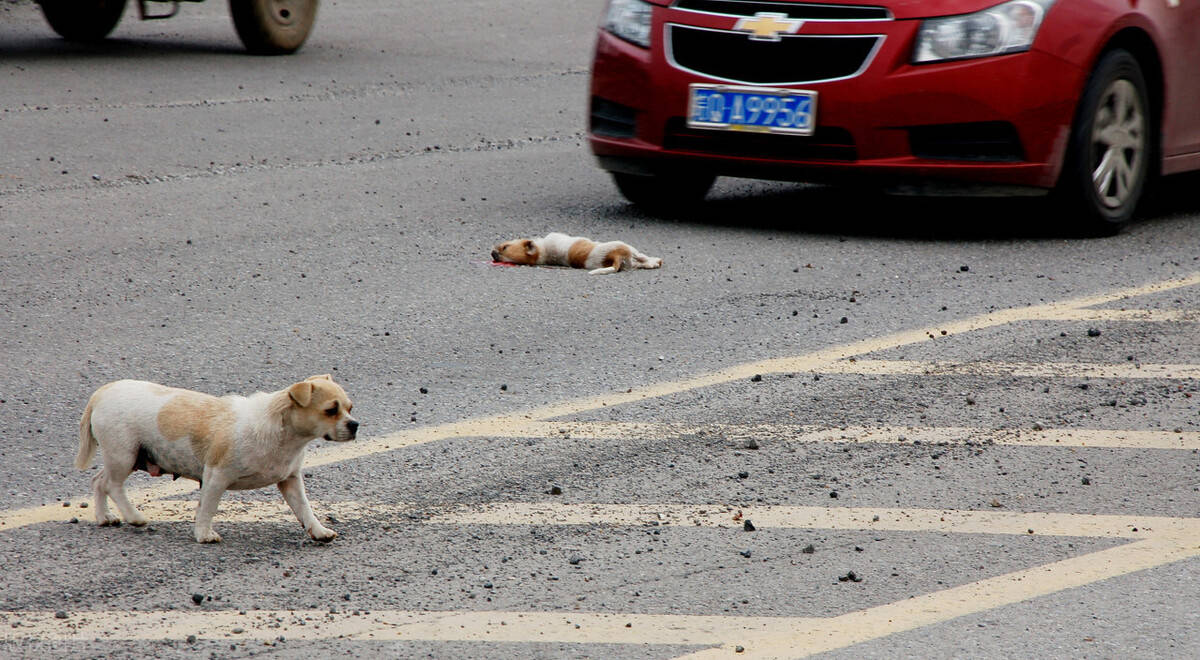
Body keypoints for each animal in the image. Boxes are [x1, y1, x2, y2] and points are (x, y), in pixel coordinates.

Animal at [74, 374, 352, 544]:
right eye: (330, 410)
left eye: (350, 408)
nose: (355, 425)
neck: (281, 431)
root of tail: (101, 394)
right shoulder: (216, 476)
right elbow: (207, 507)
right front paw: (204, 534)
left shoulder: (290, 480)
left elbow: (304, 508)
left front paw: (319, 531)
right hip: (124, 456)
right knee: (112, 485)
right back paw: (134, 516)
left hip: (125, 458)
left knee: (98, 481)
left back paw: (104, 517)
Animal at [494, 231, 667, 276]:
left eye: (505, 247)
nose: (493, 254)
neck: (542, 252)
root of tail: (614, 257)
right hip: (627, 248)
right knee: (643, 259)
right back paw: (656, 261)